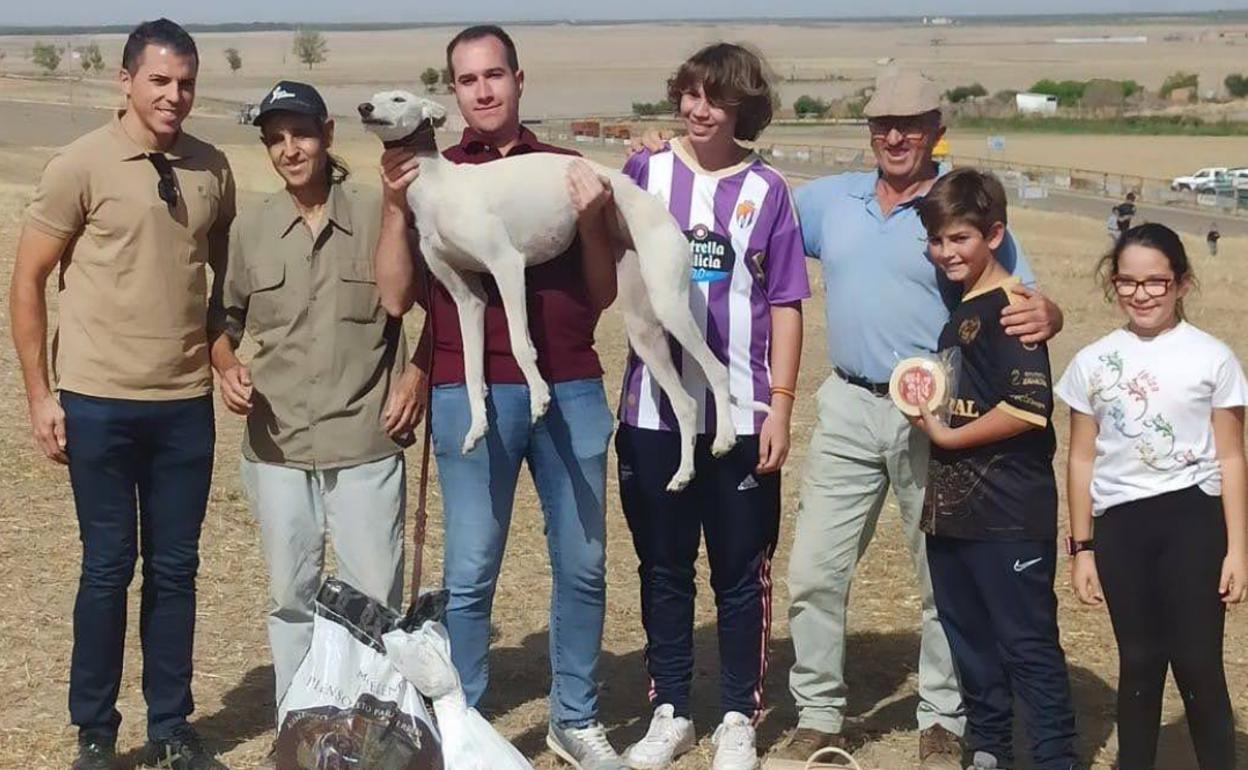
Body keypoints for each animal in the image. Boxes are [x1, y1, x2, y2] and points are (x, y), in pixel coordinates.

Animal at [360, 91, 767, 491]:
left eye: (398, 99)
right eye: (375, 96)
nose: (364, 107)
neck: (438, 187)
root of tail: (663, 215)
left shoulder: (507, 264)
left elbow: (519, 343)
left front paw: (540, 397)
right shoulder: (468, 297)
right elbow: (473, 369)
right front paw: (477, 428)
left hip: (670, 303)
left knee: (717, 370)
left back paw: (724, 439)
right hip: (644, 330)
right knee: (686, 404)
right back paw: (682, 475)